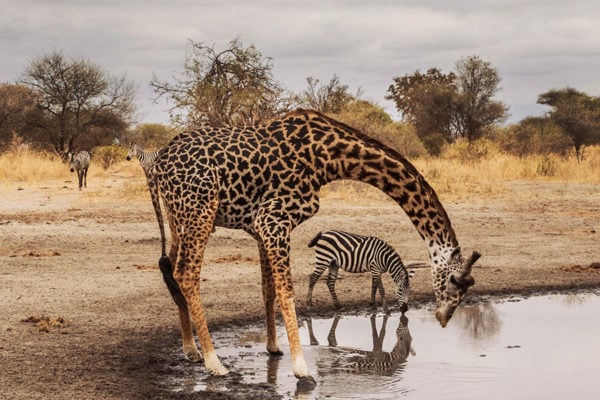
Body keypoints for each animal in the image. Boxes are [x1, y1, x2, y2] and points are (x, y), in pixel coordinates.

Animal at [152, 108, 480, 386]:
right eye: (454, 281)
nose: (444, 317)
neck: (329, 160)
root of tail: (158, 164)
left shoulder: (260, 227)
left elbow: (268, 289)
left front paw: (274, 348)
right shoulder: (273, 219)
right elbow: (288, 291)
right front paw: (302, 369)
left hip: (179, 215)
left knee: (169, 265)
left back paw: (191, 350)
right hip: (200, 210)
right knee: (186, 273)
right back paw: (214, 363)